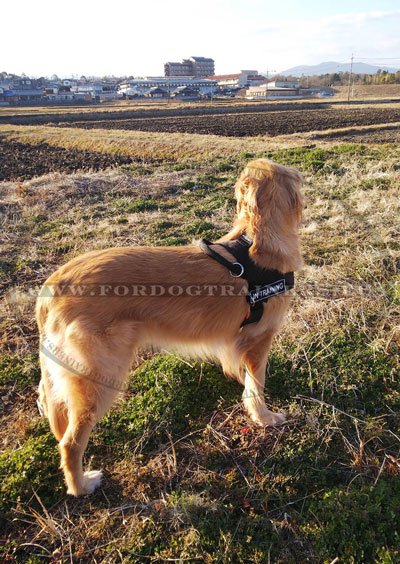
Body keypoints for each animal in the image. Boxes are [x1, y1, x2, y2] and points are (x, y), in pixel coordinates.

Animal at [36, 159, 304, 494]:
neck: (257, 239)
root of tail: (52, 287)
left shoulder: (235, 342)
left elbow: (242, 376)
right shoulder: (259, 339)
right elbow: (258, 385)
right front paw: (265, 417)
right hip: (100, 377)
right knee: (71, 442)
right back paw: (82, 485)